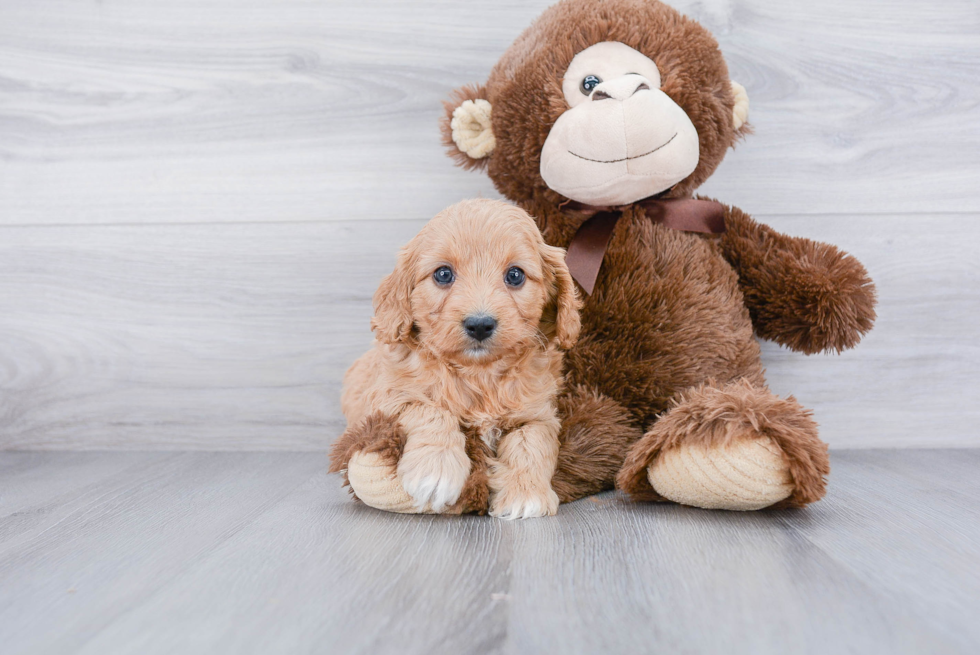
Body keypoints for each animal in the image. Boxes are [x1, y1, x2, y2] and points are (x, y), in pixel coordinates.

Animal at [340, 197, 580, 520]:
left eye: (515, 275)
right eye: (443, 274)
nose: (479, 324)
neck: (479, 373)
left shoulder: (538, 414)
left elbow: (531, 442)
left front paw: (525, 492)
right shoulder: (386, 400)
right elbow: (429, 409)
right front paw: (436, 471)